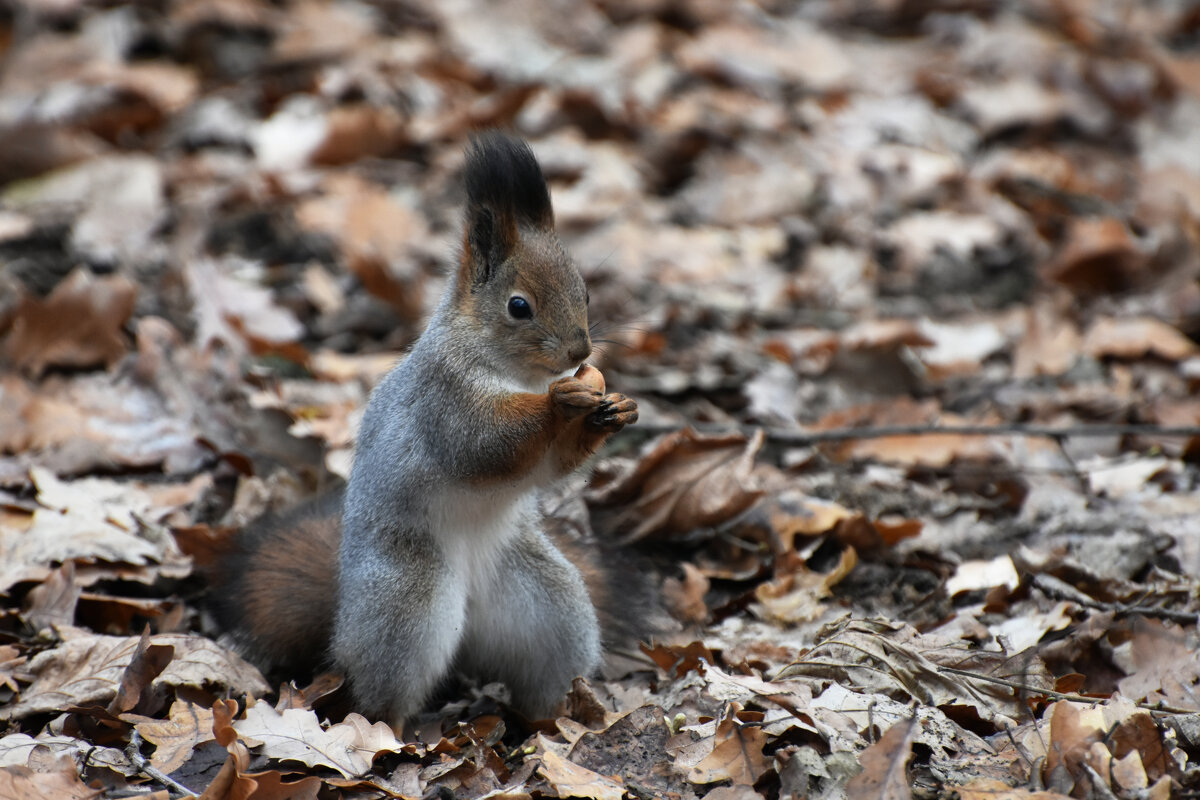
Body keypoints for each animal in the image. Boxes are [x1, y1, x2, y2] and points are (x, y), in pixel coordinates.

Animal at [216, 134, 648, 729]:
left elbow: (550, 465)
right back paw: (391, 733)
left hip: (549, 607)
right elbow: (485, 445)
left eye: (584, 292)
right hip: (407, 603)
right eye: (519, 306)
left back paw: (558, 720)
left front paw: (616, 409)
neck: (516, 374)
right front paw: (559, 404)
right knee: (379, 690)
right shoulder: (443, 401)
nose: (581, 352)